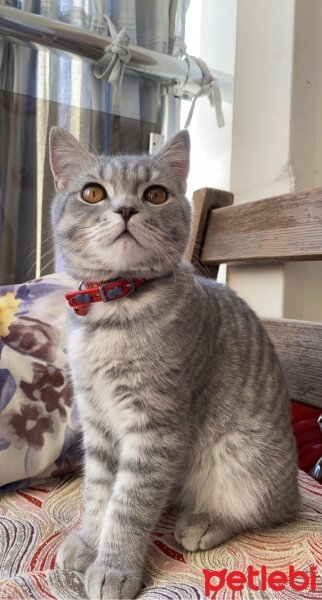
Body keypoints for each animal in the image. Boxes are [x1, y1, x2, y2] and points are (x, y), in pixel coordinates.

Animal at [50, 129, 300, 600]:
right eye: (92, 192)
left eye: (156, 194)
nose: (126, 208)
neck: (115, 309)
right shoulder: (97, 422)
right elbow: (98, 492)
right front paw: (90, 541)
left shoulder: (155, 429)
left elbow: (128, 504)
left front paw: (114, 567)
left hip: (244, 463)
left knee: (267, 512)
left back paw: (204, 522)